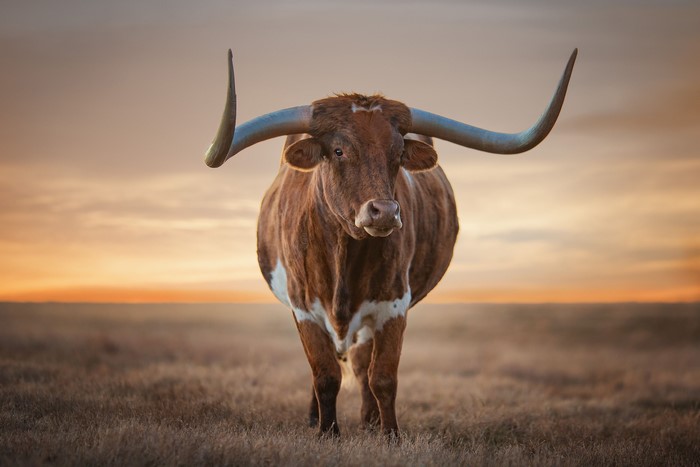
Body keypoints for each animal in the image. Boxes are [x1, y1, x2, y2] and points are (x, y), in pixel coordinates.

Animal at [203, 49, 577, 439]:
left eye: (397, 154)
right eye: (339, 150)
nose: (384, 211)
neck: (343, 252)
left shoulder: (392, 304)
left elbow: (382, 377)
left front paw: (389, 435)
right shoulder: (303, 306)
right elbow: (324, 375)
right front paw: (327, 432)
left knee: (362, 364)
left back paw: (368, 421)